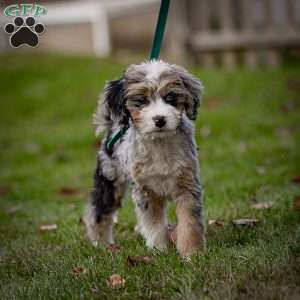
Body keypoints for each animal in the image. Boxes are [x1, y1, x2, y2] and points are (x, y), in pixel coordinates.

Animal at [84, 59, 206, 256]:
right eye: (141, 101)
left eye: (170, 98)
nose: (159, 119)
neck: (159, 144)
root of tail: (112, 126)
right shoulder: (147, 191)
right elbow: (154, 224)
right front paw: (159, 249)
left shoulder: (187, 186)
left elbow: (189, 223)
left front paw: (191, 254)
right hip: (110, 179)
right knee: (99, 211)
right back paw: (101, 243)